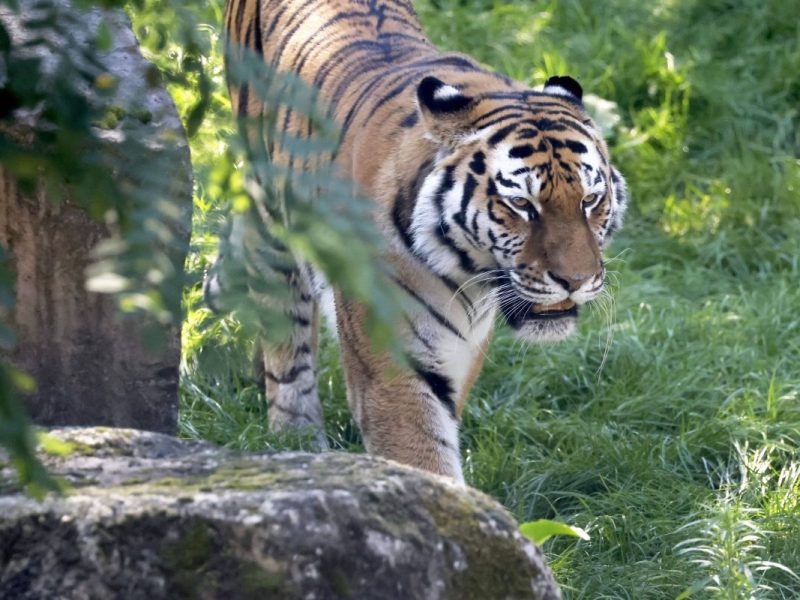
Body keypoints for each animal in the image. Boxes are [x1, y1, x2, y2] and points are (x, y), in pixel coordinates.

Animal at [212, 0, 628, 482]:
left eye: (590, 200)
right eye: (522, 204)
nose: (576, 281)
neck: (468, 275)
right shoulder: (393, 361)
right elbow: (423, 459)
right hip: (270, 213)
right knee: (286, 339)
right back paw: (296, 442)